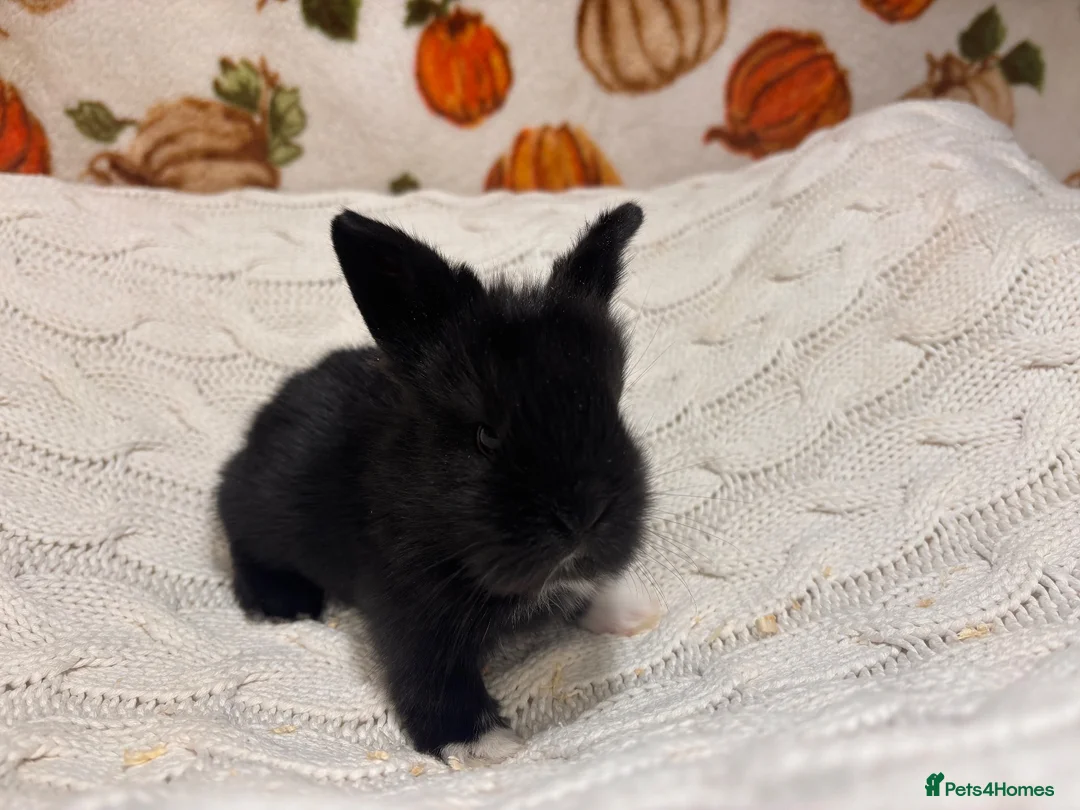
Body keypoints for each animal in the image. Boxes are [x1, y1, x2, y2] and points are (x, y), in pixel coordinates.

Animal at [215, 202, 660, 768]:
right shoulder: (411, 612)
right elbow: (431, 675)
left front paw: (628, 611)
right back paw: (281, 603)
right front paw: (484, 746)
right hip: (263, 512)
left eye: (613, 406)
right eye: (485, 435)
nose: (584, 517)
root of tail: (263, 419)